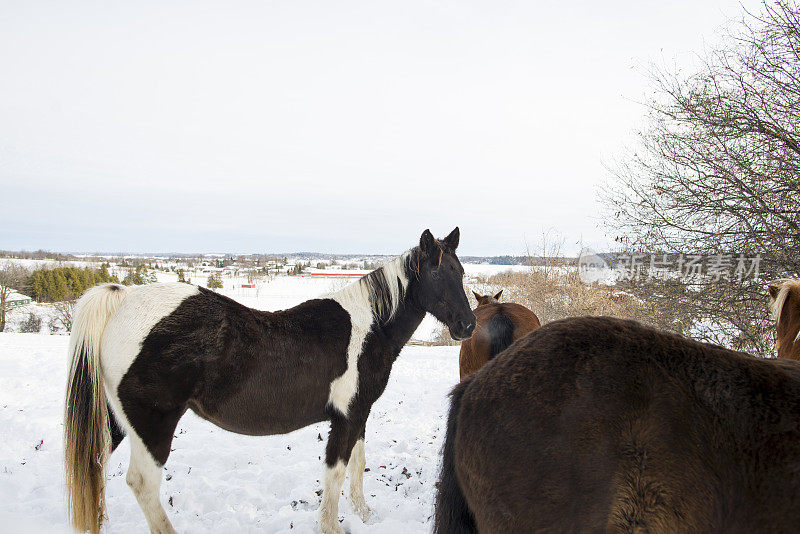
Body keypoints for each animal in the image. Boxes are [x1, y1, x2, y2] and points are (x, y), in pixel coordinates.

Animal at [64, 229, 476, 534]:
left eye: (461, 272)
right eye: (437, 273)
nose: (468, 325)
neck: (369, 328)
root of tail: (122, 301)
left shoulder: (359, 414)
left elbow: (358, 465)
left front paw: (365, 516)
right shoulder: (345, 418)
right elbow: (336, 474)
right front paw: (333, 527)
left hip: (116, 423)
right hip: (153, 426)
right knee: (143, 484)